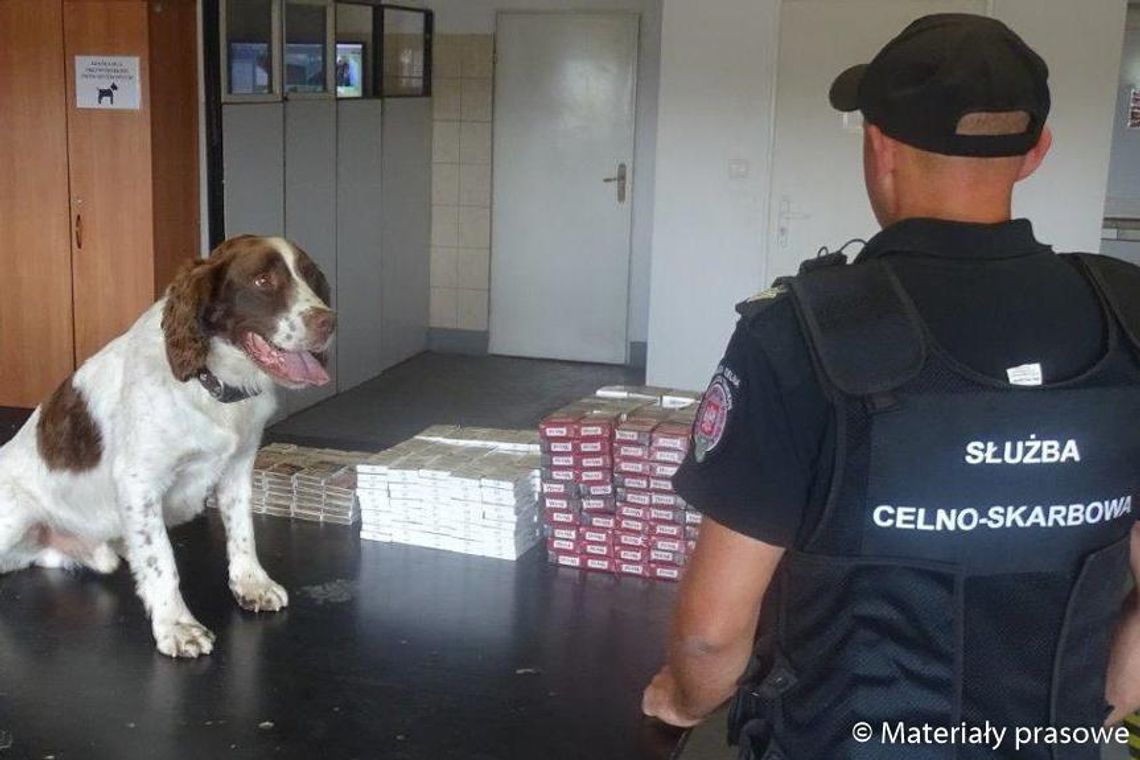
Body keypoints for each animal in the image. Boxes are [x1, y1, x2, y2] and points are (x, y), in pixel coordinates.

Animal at [0, 234, 335, 656]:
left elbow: (243, 531)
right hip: (13, 517)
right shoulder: (138, 482)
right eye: (263, 281)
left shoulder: (239, 468)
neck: (212, 382)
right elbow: (161, 559)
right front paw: (176, 625)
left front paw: (252, 584)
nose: (329, 322)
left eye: (311, 277)